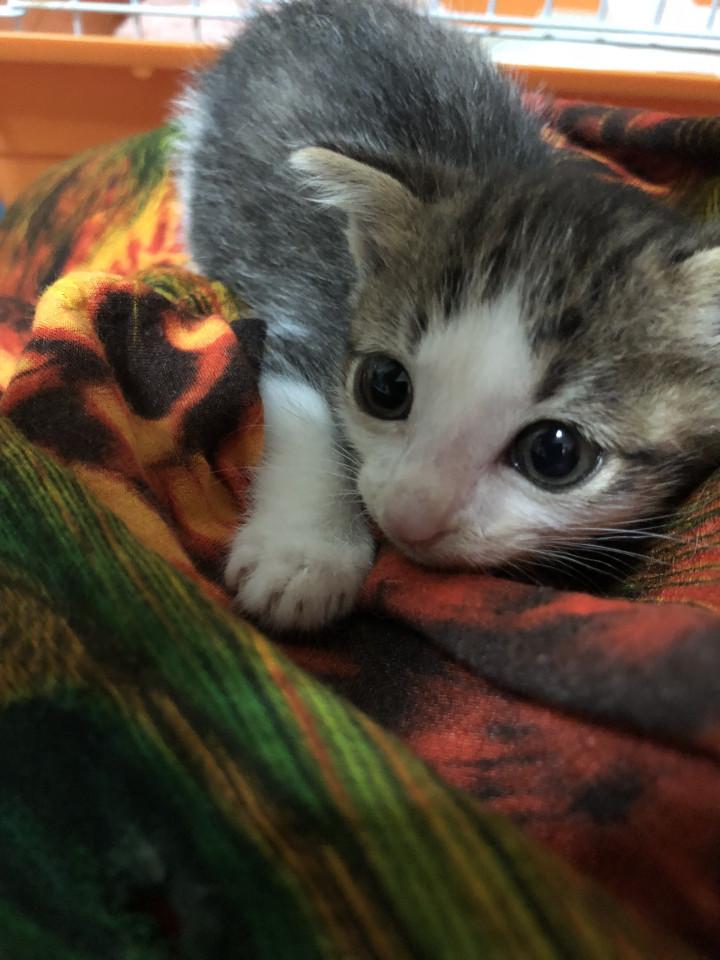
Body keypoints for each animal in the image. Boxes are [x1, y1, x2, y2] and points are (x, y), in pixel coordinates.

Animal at [175, 0, 720, 630]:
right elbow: (307, 419)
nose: (409, 517)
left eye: (555, 454)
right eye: (385, 387)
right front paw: (304, 556)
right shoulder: (303, 314)